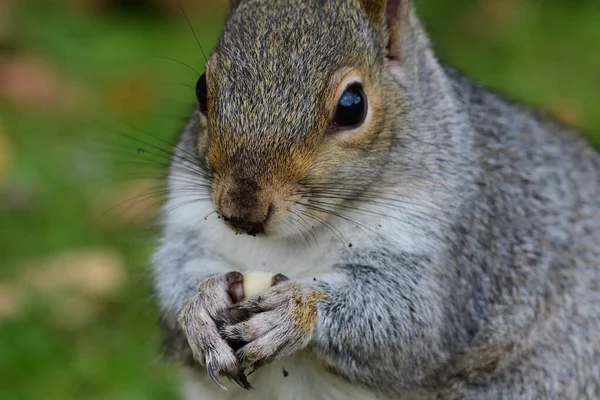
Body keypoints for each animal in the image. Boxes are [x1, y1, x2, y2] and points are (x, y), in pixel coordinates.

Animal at [152, 0, 600, 400]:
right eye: (201, 88)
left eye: (353, 106)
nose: (242, 213)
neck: (290, 242)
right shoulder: (189, 219)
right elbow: (174, 272)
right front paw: (201, 305)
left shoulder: (456, 250)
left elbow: (410, 326)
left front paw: (296, 309)